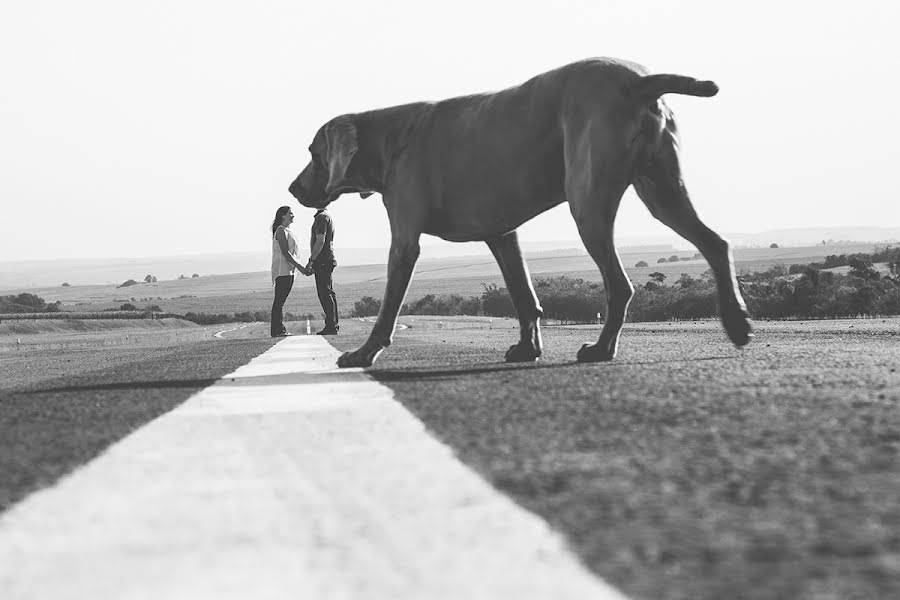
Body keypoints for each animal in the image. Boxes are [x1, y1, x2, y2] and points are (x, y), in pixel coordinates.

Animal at [288, 58, 752, 368]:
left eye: (313, 152)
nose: (292, 189)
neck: (389, 136)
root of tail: (639, 80)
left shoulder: (404, 238)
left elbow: (388, 307)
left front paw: (364, 353)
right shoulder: (501, 233)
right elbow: (523, 295)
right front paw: (528, 349)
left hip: (588, 200)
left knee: (620, 284)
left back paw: (601, 349)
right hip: (661, 188)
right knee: (715, 242)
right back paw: (738, 323)